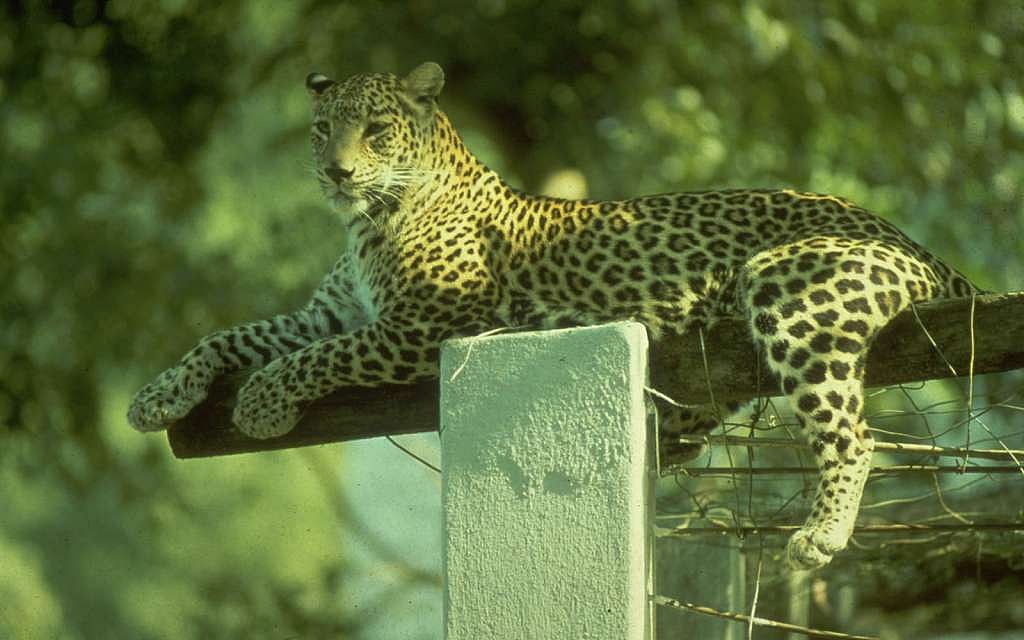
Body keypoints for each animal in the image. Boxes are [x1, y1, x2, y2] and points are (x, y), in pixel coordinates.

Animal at [128, 61, 979, 570]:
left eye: (373, 131)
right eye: (320, 131)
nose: (336, 172)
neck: (368, 220)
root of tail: (918, 243)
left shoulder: (424, 325)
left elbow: (308, 360)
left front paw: (260, 403)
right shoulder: (330, 315)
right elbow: (233, 335)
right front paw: (156, 396)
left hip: (795, 286)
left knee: (853, 434)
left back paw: (820, 534)